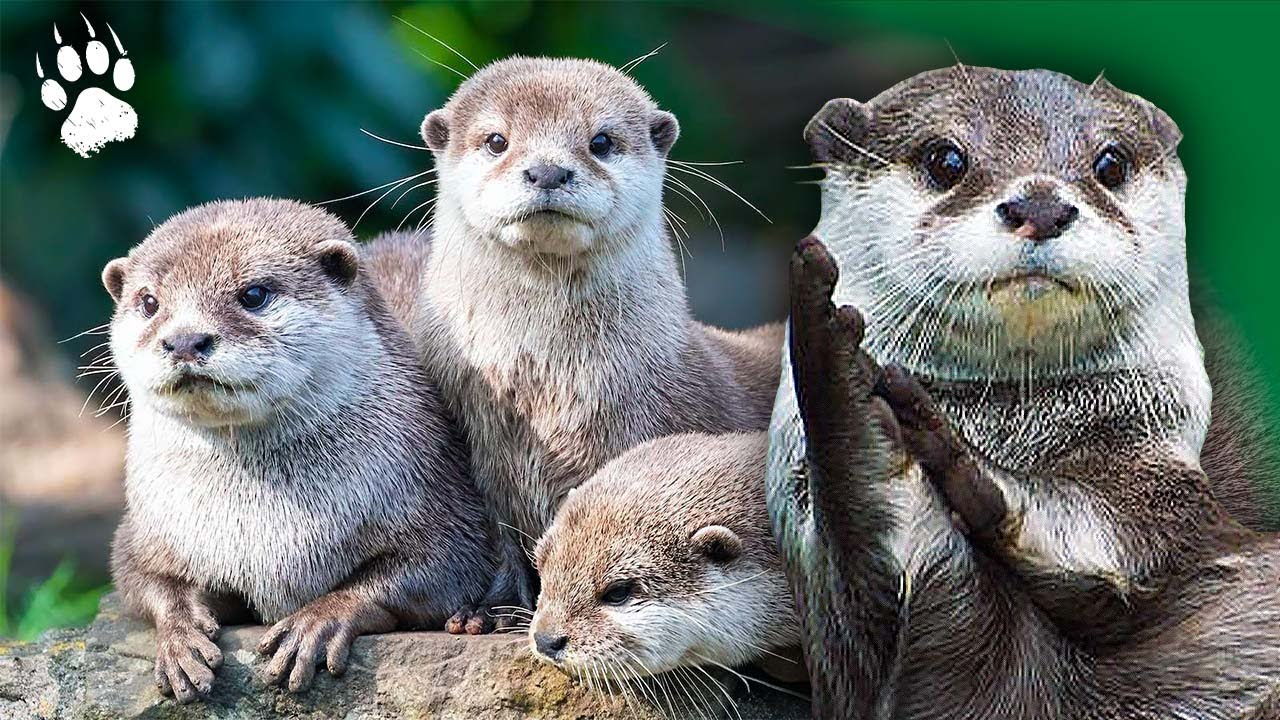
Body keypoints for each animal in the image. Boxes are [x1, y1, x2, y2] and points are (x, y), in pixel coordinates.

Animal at [104, 197, 491, 702]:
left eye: (253, 294)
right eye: (149, 302)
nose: (184, 340)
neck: (265, 528)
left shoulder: (439, 498)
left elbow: (443, 566)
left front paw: (317, 620)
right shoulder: (149, 528)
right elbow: (142, 579)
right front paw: (180, 636)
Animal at [373, 56, 783, 627]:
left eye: (602, 140)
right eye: (496, 140)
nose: (547, 171)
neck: (549, 393)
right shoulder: (478, 447)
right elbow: (497, 535)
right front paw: (490, 609)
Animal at [768, 68, 1280, 717]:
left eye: (1111, 163)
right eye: (945, 159)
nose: (1040, 204)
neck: (1015, 430)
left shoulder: (1158, 469)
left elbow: (1127, 534)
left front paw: (963, 466)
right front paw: (842, 378)